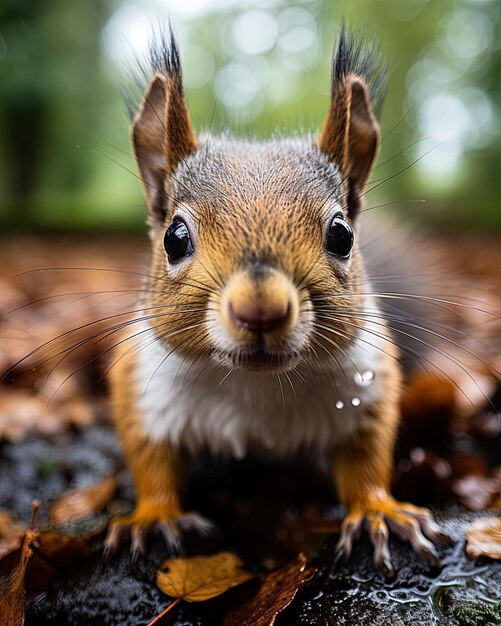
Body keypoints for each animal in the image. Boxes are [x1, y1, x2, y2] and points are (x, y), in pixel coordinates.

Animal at [104, 24, 442, 572]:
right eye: (174, 238)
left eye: (342, 235)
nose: (259, 310)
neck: (255, 386)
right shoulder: (141, 385)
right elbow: (150, 457)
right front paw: (154, 516)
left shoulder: (369, 385)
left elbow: (367, 456)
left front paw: (377, 511)